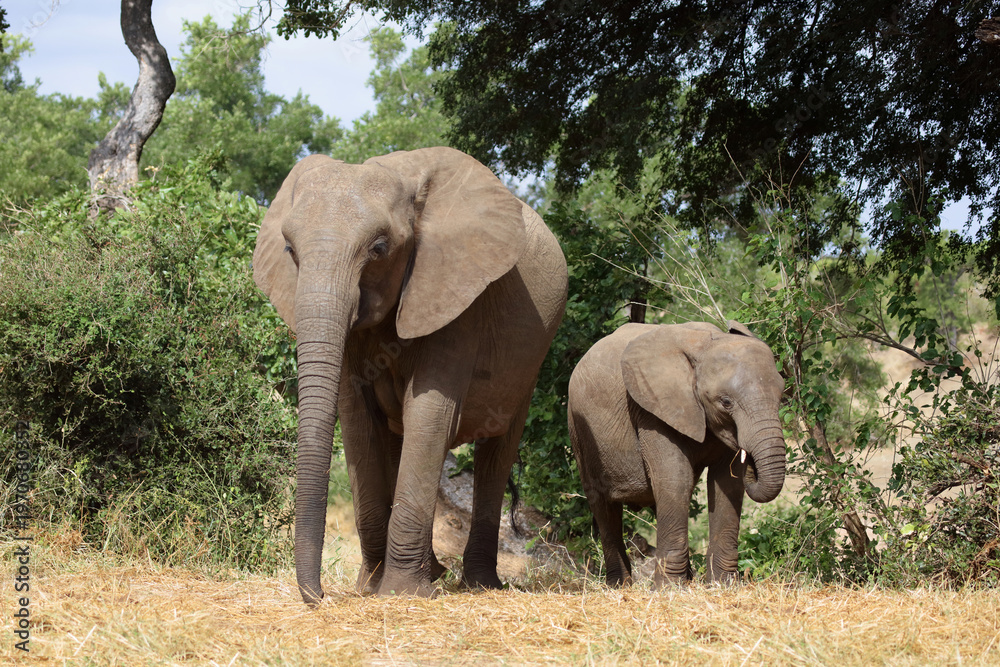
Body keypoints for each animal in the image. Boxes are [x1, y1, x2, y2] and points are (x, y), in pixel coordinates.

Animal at [253, 146, 568, 602]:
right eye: (290, 250)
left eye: (380, 248)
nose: (320, 596)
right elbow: (356, 420)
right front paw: (371, 587)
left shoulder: (457, 294)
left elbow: (429, 413)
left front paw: (401, 593)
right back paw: (433, 572)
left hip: (529, 363)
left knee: (496, 452)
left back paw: (478, 584)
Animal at [567, 320, 786, 588]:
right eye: (726, 402)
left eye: (781, 396)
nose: (751, 463)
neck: (704, 345)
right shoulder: (652, 409)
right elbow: (675, 479)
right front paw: (670, 588)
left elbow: (726, 484)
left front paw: (722, 584)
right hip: (579, 428)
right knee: (602, 503)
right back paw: (620, 585)